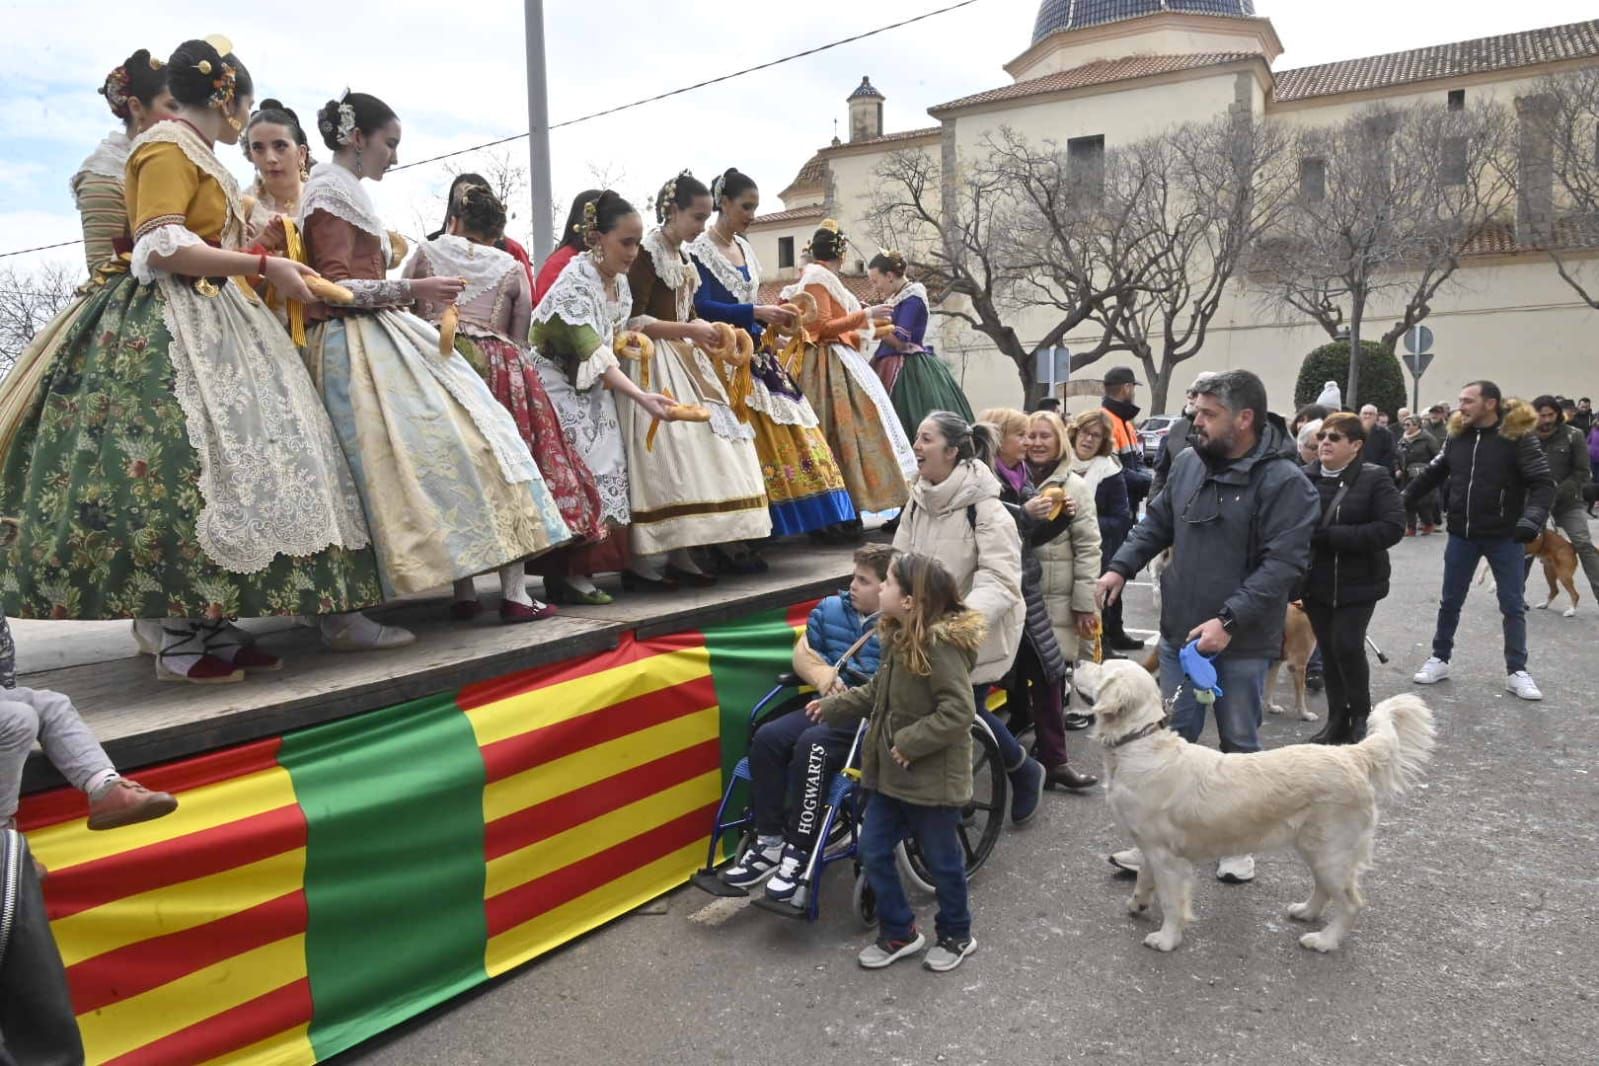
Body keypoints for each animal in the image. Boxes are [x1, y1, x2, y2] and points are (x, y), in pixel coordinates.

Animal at [1087, 661, 1439, 952]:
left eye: (1101, 669)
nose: (1078, 663)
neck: (1138, 744)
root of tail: (1351, 753)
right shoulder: (1149, 845)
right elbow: (1144, 879)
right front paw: (1137, 904)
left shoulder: (1167, 857)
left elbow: (1173, 902)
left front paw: (1166, 939)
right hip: (1316, 848)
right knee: (1324, 889)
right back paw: (1305, 912)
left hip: (1332, 851)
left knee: (1351, 902)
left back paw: (1324, 941)